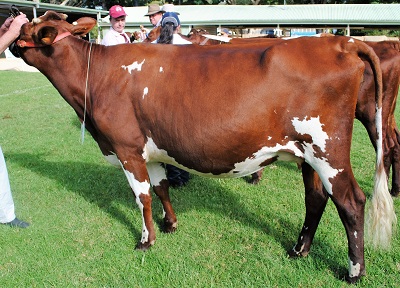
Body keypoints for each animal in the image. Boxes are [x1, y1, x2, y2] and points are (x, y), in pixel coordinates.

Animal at [14, 11, 396, 284]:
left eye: (26, 31)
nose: (12, 41)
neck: (97, 77)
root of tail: (341, 43)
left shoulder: (126, 148)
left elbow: (142, 197)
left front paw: (146, 240)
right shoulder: (152, 149)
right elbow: (162, 187)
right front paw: (170, 225)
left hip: (328, 150)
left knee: (350, 202)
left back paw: (354, 272)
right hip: (307, 154)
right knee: (315, 199)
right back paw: (298, 250)